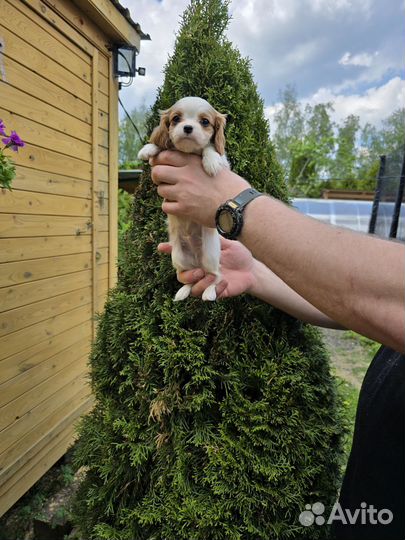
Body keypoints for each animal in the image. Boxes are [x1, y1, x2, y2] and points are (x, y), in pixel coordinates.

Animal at [138, 96, 227, 300]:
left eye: (205, 122)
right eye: (176, 119)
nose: (187, 128)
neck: (189, 152)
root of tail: (198, 261)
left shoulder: (225, 163)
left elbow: (210, 147)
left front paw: (211, 161)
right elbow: (160, 143)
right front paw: (148, 148)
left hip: (211, 255)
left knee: (216, 275)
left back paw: (209, 292)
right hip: (179, 258)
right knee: (189, 278)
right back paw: (183, 292)